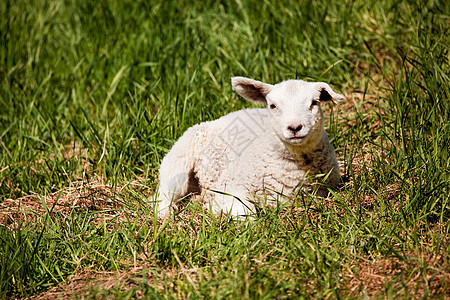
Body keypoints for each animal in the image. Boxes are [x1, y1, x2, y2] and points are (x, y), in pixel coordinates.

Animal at [155, 77, 344, 218]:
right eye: (273, 105)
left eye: (314, 102)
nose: (295, 127)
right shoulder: (230, 186)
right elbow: (247, 214)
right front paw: (215, 209)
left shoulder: (324, 190)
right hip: (178, 161)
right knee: (162, 196)